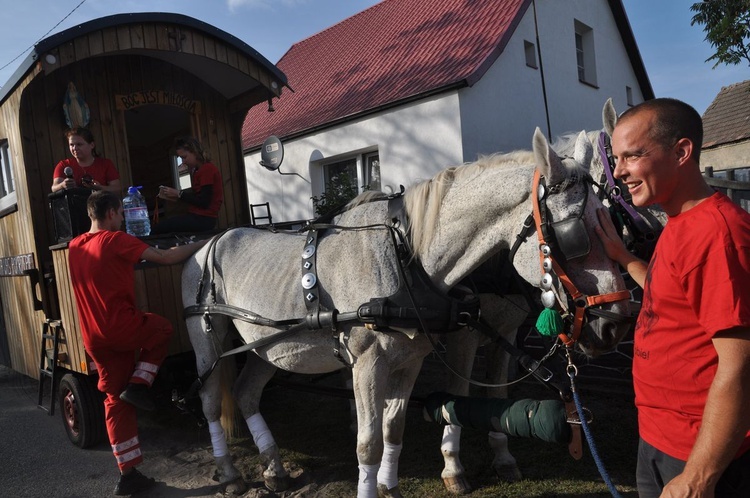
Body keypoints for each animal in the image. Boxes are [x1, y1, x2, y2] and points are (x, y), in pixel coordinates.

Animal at [182, 129, 636, 498]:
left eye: (610, 222)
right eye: (576, 236)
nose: (613, 324)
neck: (405, 257)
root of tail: (208, 242)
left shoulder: (409, 359)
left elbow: (393, 427)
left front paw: (390, 485)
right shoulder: (368, 364)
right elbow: (368, 443)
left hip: (267, 345)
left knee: (246, 392)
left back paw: (274, 468)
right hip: (208, 340)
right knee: (209, 399)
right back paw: (229, 472)